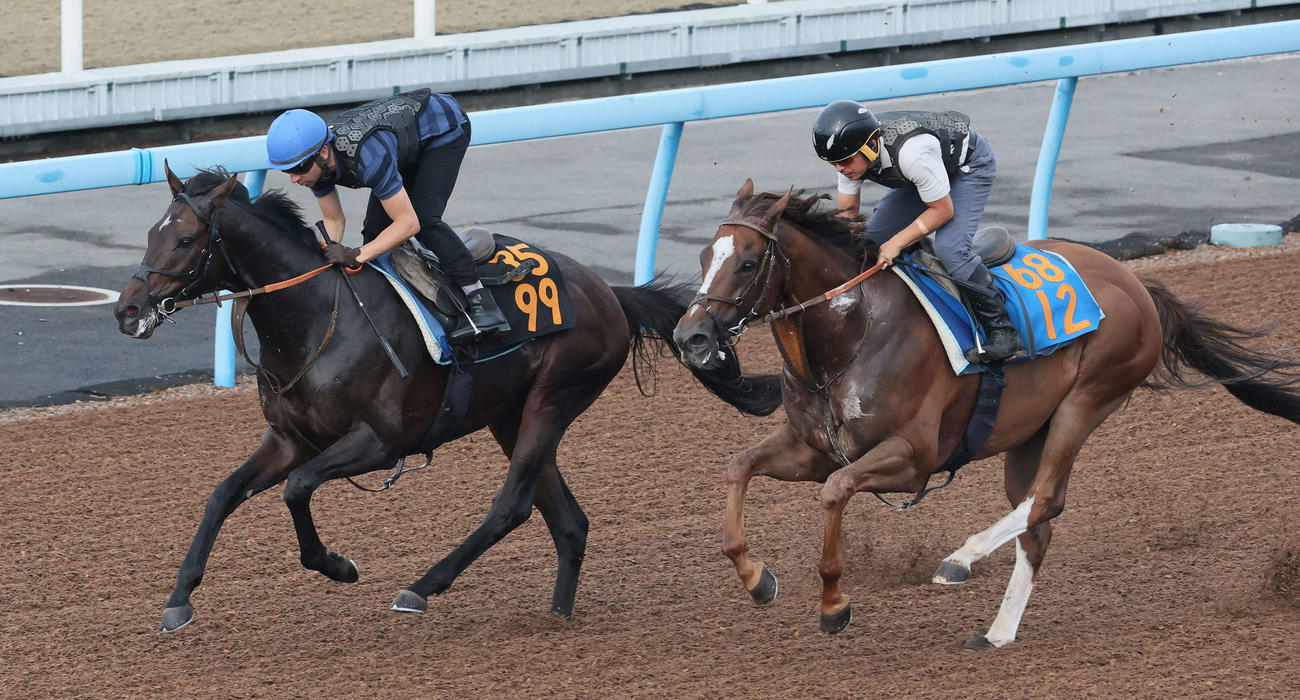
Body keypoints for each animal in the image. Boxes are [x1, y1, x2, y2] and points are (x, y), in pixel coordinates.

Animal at [114, 165, 781, 633]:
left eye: (186, 239)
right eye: (150, 233)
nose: (127, 310)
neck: (316, 319)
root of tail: (608, 291)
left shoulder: (382, 442)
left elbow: (297, 489)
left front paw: (337, 565)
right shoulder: (290, 438)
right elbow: (223, 494)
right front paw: (178, 599)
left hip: (553, 399)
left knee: (512, 506)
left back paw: (423, 586)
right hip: (511, 416)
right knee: (567, 519)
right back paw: (558, 615)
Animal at [671, 179, 1300, 647]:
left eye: (748, 262)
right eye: (703, 256)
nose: (690, 337)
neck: (852, 333)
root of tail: (1135, 281)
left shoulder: (913, 459)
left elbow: (835, 493)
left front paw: (833, 604)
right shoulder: (813, 449)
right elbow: (739, 467)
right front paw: (756, 579)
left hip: (1087, 400)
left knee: (1044, 500)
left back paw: (960, 560)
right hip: (1030, 432)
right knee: (1038, 521)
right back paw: (998, 631)